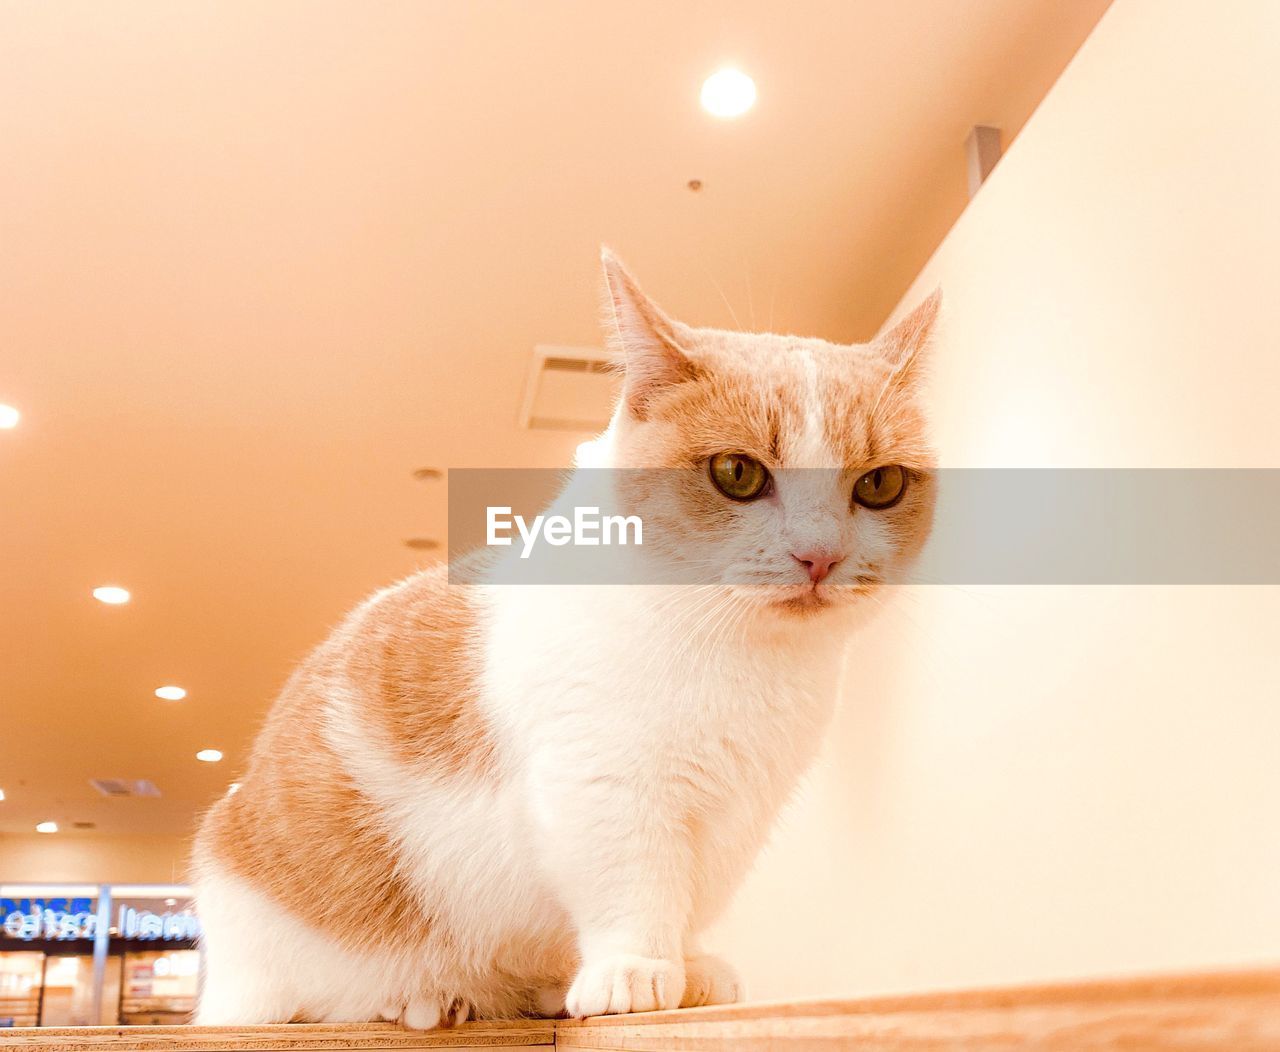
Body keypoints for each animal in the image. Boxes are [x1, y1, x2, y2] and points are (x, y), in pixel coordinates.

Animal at [192, 250, 942, 1023]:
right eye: (737, 473)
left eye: (880, 485)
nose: (819, 555)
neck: (744, 659)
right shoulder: (604, 784)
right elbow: (634, 886)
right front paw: (636, 968)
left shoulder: (734, 814)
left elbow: (690, 898)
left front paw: (689, 964)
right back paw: (426, 1002)